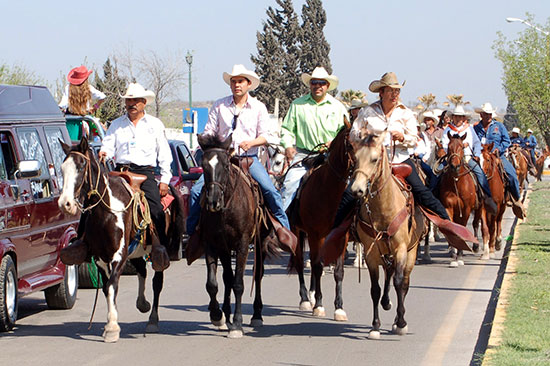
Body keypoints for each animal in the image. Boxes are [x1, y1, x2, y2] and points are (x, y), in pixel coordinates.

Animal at [58, 138, 184, 344]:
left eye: (81, 165)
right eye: (62, 168)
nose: (65, 203)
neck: (106, 212)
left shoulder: (118, 255)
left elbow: (111, 285)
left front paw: (111, 328)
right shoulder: (101, 258)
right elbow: (107, 287)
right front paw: (111, 323)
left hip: (158, 249)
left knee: (157, 281)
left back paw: (152, 321)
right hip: (136, 250)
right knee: (142, 270)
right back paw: (142, 303)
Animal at [197, 133, 280, 338]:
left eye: (226, 165)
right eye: (203, 165)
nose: (213, 201)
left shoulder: (242, 245)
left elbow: (239, 284)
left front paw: (237, 324)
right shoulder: (214, 244)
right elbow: (214, 283)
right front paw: (218, 316)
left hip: (260, 244)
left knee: (258, 275)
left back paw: (257, 315)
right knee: (227, 277)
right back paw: (225, 314)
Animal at [288, 121, 354, 320]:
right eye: (351, 144)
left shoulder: (341, 236)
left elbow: (338, 271)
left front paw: (339, 308)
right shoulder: (315, 233)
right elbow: (317, 267)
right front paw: (318, 305)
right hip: (297, 231)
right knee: (300, 262)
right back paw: (305, 299)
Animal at [350, 130, 426, 338]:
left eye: (374, 159)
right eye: (355, 158)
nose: (357, 190)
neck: (383, 209)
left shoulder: (401, 249)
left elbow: (400, 283)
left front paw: (400, 323)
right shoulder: (372, 252)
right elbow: (375, 289)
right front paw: (375, 326)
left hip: (410, 252)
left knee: (404, 282)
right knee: (388, 275)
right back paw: (386, 303)